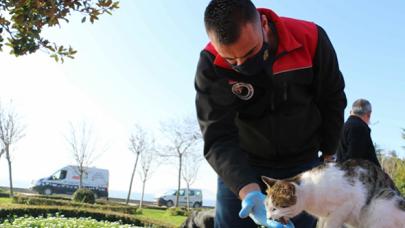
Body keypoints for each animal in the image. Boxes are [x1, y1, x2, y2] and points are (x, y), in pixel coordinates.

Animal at [260, 159, 402, 227]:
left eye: (275, 208)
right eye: (266, 207)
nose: (268, 217)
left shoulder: (347, 204)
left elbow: (332, 223)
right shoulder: (324, 215)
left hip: (381, 204)